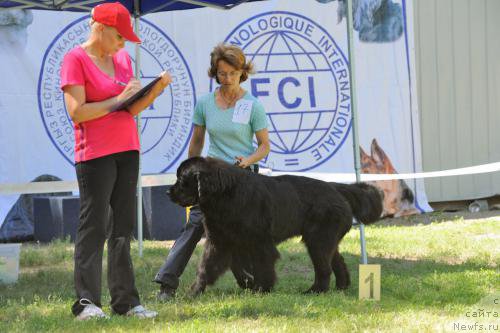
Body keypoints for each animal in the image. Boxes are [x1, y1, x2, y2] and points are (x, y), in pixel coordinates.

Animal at [169, 157, 382, 294]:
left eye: (181, 180)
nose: (167, 192)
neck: (225, 194)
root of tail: (335, 187)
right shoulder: (221, 241)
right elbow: (208, 267)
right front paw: (194, 291)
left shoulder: (259, 242)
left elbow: (263, 266)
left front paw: (262, 288)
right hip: (323, 240)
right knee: (337, 262)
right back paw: (341, 287)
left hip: (318, 240)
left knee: (324, 268)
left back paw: (315, 291)